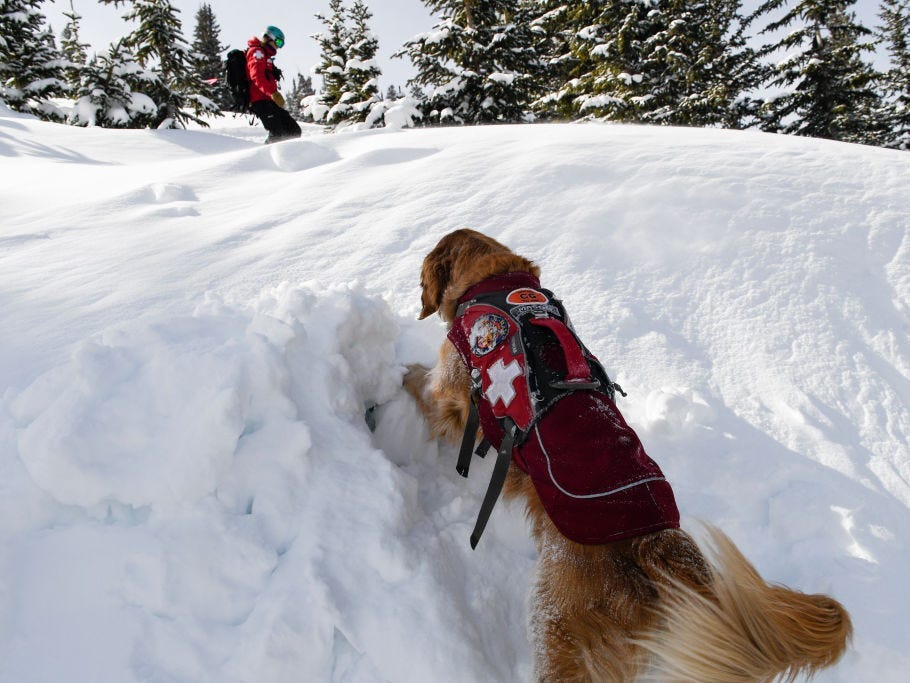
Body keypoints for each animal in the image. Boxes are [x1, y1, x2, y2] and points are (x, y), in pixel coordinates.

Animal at [406, 231, 856, 683]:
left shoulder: (451, 391)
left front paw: (398, 382)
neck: (495, 280)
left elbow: (424, 390)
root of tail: (653, 543)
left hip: (556, 627)